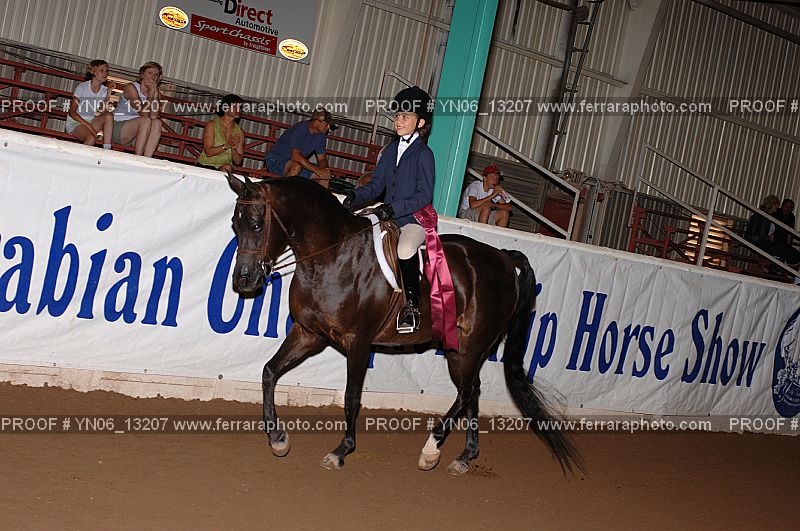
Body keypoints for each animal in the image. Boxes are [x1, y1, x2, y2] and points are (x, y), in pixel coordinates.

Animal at [225, 171, 583, 475]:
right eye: (234, 225)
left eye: (256, 224)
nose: (243, 280)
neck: (331, 256)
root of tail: (504, 258)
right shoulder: (309, 333)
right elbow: (269, 372)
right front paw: (277, 438)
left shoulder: (358, 342)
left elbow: (351, 396)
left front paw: (341, 450)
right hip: (458, 349)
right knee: (472, 391)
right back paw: (463, 457)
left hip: (473, 345)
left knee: (467, 392)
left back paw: (431, 449)